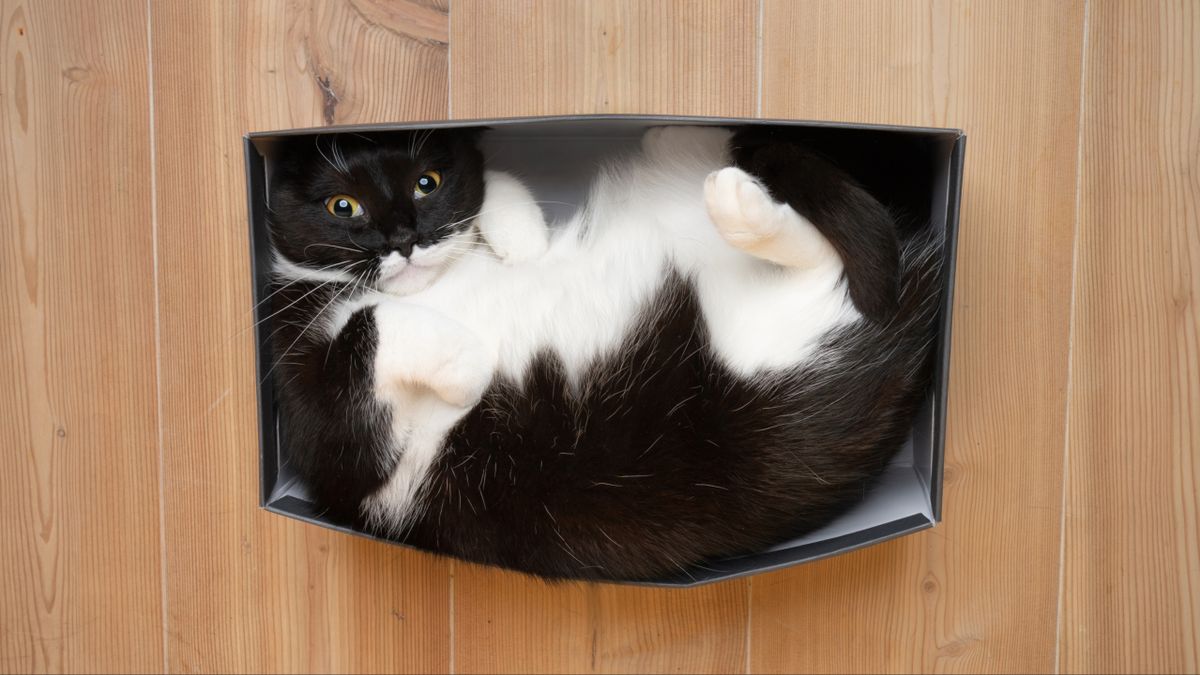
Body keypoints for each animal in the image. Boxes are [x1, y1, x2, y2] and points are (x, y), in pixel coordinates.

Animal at [265, 124, 945, 578]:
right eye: (343, 206)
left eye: (426, 184)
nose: (404, 239)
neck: (429, 288)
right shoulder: (336, 449)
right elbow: (368, 329)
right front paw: (464, 362)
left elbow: (496, 204)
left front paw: (513, 228)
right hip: (759, 364)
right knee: (822, 260)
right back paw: (730, 192)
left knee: (824, 251)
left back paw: (699, 154)